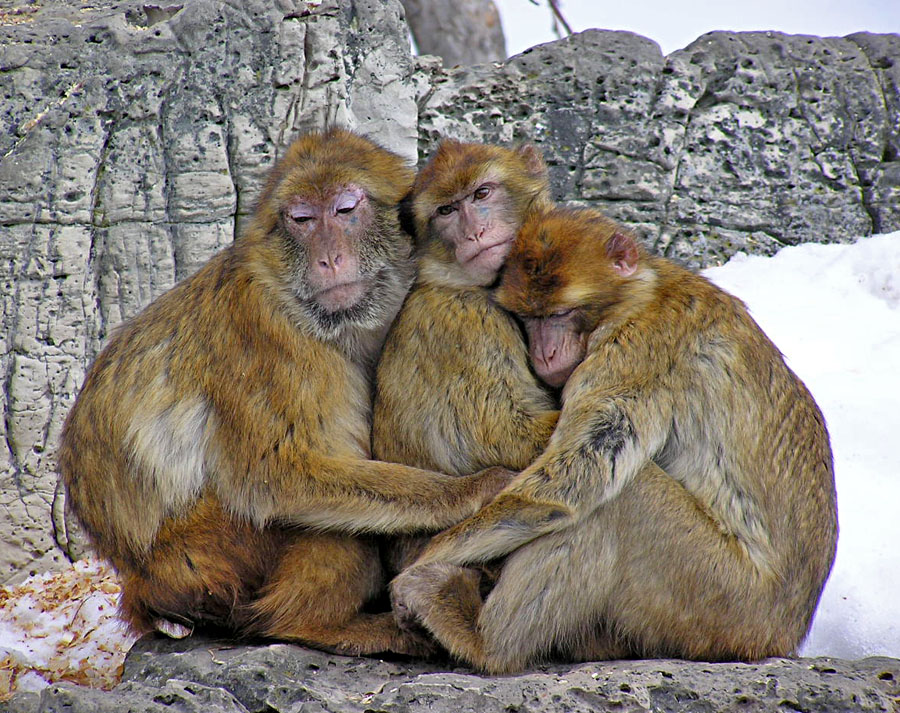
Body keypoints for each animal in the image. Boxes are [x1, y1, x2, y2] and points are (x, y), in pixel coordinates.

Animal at [59, 129, 512, 656]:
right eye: (302, 220)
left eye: (344, 209)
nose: (328, 257)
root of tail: (141, 579)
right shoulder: (271, 344)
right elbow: (278, 475)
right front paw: (472, 491)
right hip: (208, 553)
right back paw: (315, 624)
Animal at [390, 206, 840, 672]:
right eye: (529, 317)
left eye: (559, 314)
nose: (545, 354)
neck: (642, 290)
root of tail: (784, 634)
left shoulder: (633, 352)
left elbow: (570, 481)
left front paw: (423, 561)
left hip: (720, 601)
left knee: (617, 503)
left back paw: (483, 640)